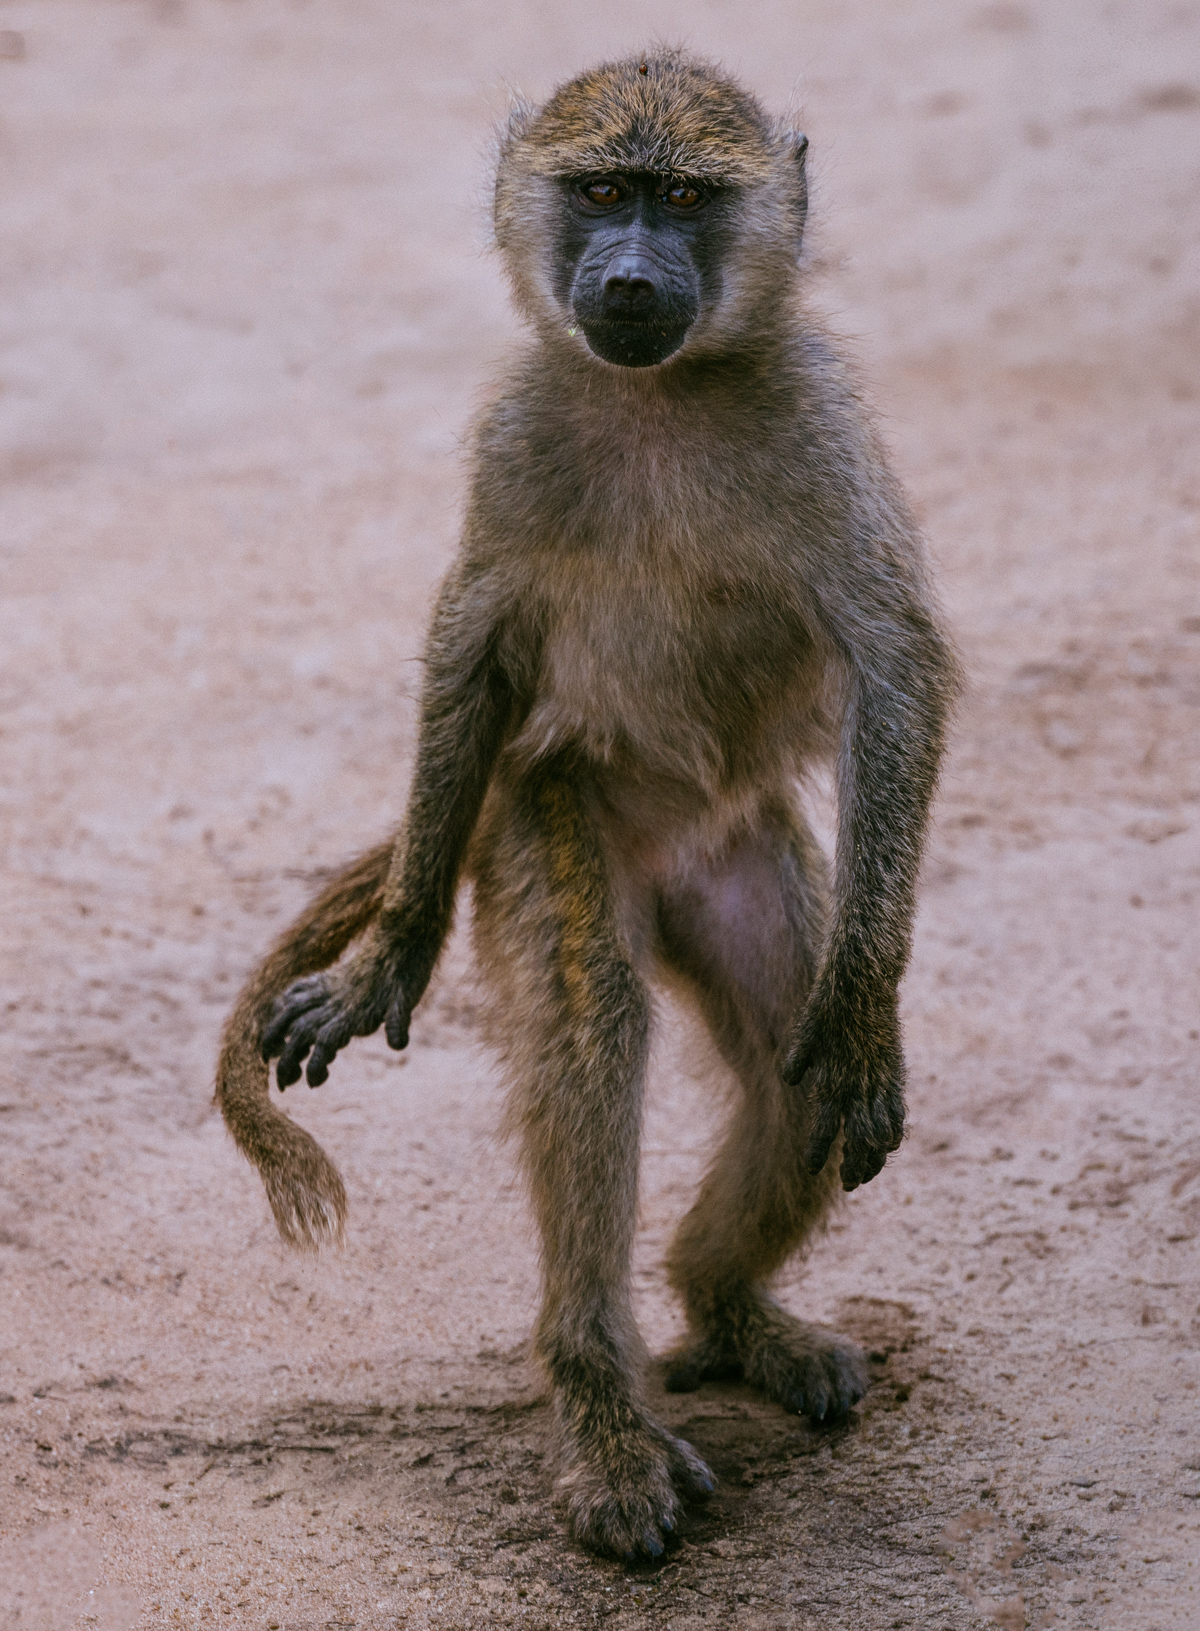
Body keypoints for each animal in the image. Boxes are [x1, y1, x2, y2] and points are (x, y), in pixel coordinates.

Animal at [215, 49, 959, 1560]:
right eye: (605, 192)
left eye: (685, 200)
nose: (624, 278)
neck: (661, 391)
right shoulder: (518, 434)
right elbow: (475, 642)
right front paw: (394, 949)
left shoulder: (819, 421)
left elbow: (893, 663)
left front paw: (864, 1006)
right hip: (540, 801)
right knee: (592, 1028)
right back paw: (605, 1413)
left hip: (744, 849)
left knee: (785, 1074)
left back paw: (726, 1310)